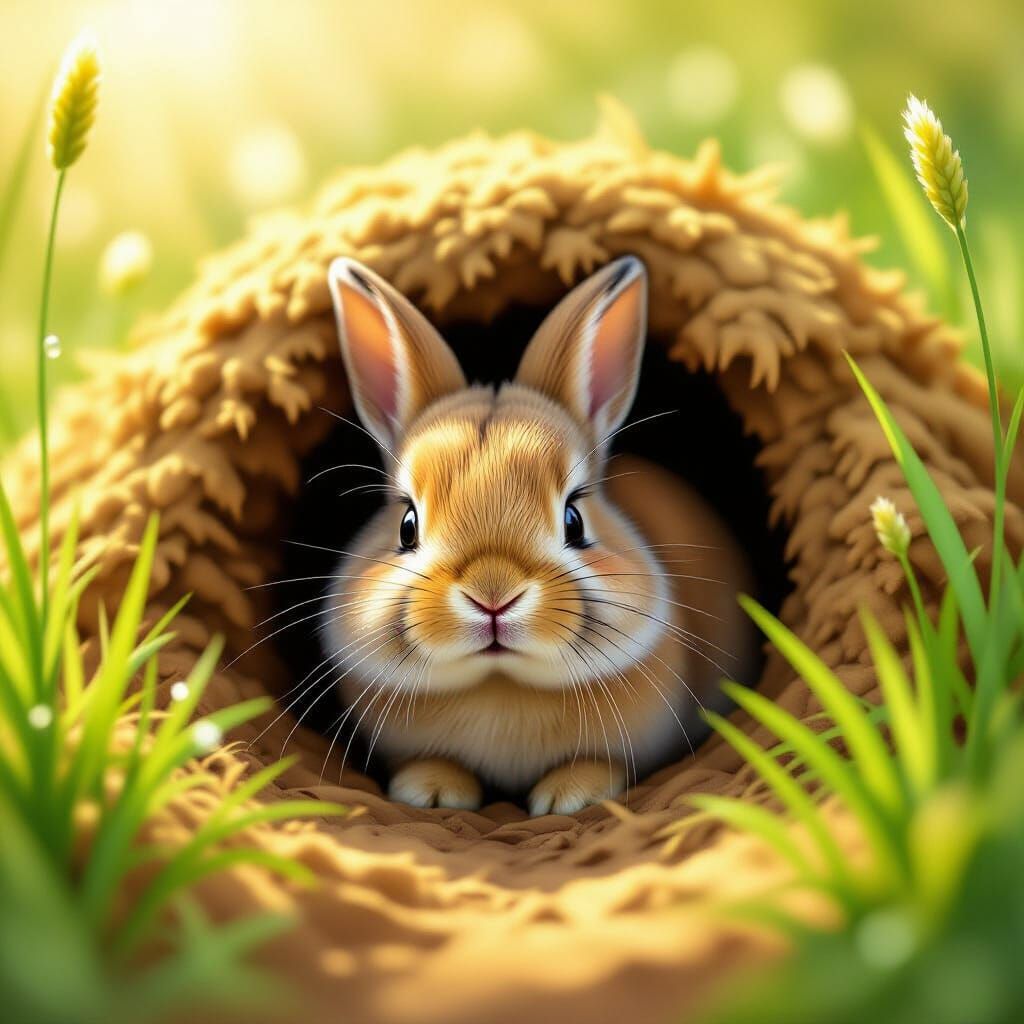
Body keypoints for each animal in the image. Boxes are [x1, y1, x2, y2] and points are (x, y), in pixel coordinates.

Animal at [322, 254, 756, 816]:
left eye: (574, 520)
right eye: (407, 526)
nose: (492, 596)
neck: (501, 685)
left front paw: (568, 798)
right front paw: (433, 793)